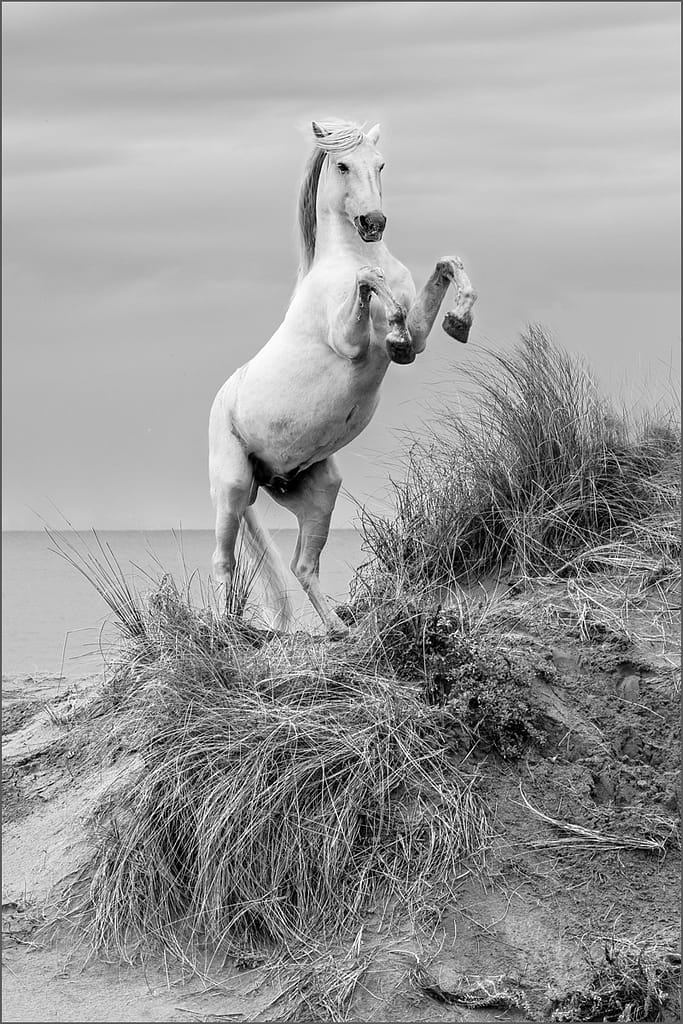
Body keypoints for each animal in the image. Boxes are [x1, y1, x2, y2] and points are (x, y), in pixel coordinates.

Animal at [209, 118, 477, 636]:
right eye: (342, 165)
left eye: (381, 164)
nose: (374, 223)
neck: (348, 255)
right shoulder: (348, 342)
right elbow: (369, 280)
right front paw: (395, 337)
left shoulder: (422, 331)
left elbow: (447, 265)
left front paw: (459, 321)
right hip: (231, 489)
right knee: (223, 562)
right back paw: (226, 633)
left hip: (317, 492)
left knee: (302, 565)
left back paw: (338, 629)